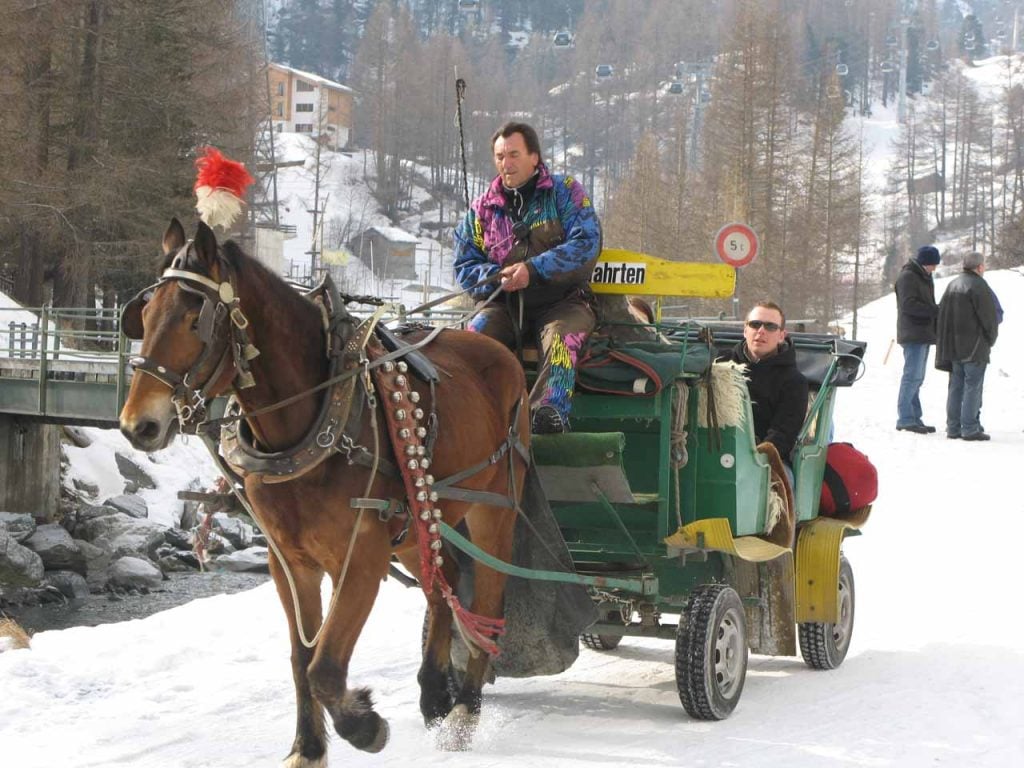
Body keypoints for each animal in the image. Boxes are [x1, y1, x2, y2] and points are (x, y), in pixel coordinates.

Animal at [121, 219, 528, 765]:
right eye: (143, 315)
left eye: (192, 321)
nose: (137, 425)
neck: (313, 417)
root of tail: (501, 353)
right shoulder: (290, 563)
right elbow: (301, 659)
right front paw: (308, 747)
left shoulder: (361, 560)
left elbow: (326, 669)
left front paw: (364, 725)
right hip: (417, 523)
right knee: (443, 587)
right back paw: (434, 694)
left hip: (494, 511)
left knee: (485, 601)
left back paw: (464, 708)